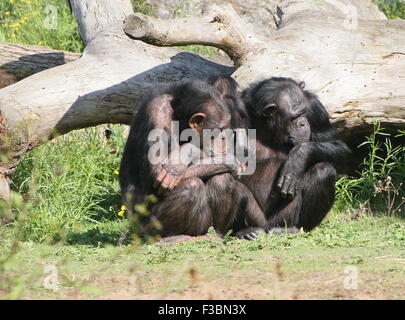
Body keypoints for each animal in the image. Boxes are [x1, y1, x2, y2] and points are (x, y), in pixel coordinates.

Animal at [234, 76, 350, 239]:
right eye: (294, 117)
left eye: (304, 112)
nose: (303, 123)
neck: (267, 124)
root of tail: (266, 226)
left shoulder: (315, 109)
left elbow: (339, 147)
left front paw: (297, 159)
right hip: (256, 218)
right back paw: (245, 231)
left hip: (283, 217)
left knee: (323, 170)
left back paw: (291, 229)